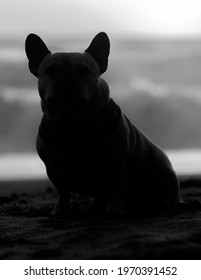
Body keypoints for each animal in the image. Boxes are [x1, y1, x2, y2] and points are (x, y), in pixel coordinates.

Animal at [24, 31, 182, 215]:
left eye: (84, 70)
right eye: (50, 70)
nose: (66, 76)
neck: (72, 119)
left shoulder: (115, 161)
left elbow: (116, 186)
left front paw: (114, 209)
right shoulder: (53, 167)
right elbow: (62, 191)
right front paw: (61, 209)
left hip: (163, 172)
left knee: (171, 190)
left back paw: (174, 203)